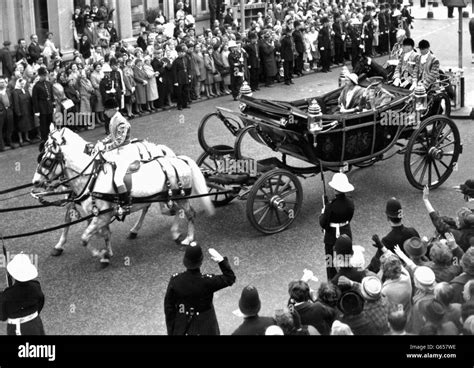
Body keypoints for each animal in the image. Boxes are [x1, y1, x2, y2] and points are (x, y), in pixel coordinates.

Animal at [30, 125, 214, 266]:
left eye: (47, 160)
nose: (36, 182)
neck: (91, 177)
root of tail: (179, 159)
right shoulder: (93, 211)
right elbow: (94, 230)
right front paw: (106, 252)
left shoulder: (101, 215)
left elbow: (84, 237)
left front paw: (101, 254)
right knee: (171, 210)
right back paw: (167, 232)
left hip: (179, 196)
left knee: (188, 213)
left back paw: (187, 238)